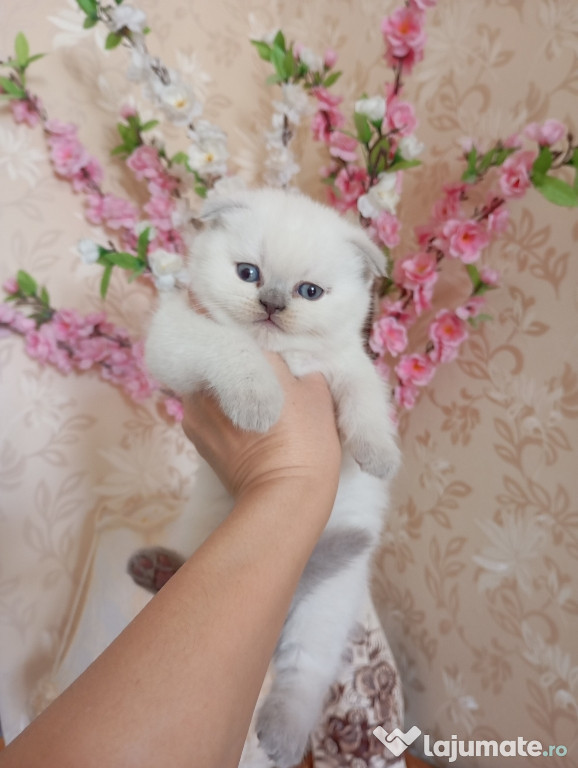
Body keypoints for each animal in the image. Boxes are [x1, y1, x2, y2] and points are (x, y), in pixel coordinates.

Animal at [144, 188, 398, 768]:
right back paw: (156, 570)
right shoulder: (179, 336)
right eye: (248, 273)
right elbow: (235, 348)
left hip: (325, 611)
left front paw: (378, 454)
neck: (287, 357)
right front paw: (258, 402)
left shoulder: (347, 363)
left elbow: (365, 396)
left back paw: (280, 737)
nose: (273, 304)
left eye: (310, 292)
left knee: (302, 677)